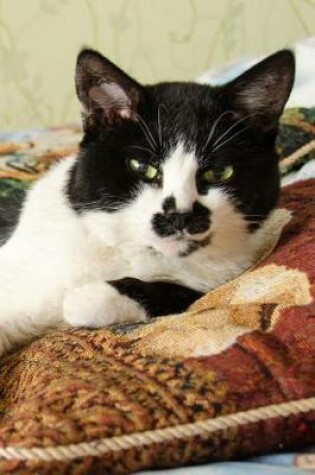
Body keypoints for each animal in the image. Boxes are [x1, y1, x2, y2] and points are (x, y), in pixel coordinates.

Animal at [0, 47, 296, 356]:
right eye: (142, 167)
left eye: (218, 173)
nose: (180, 216)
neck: (129, 251)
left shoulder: (218, 276)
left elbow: (183, 292)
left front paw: (92, 297)